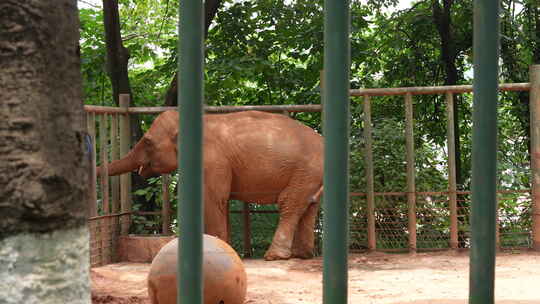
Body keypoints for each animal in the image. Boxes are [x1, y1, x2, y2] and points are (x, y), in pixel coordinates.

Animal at [99, 110, 322, 260]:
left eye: (147, 142)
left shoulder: (212, 161)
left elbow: (213, 199)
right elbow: (219, 201)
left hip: (306, 169)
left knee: (289, 204)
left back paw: (274, 256)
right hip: (310, 174)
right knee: (309, 205)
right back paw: (302, 255)